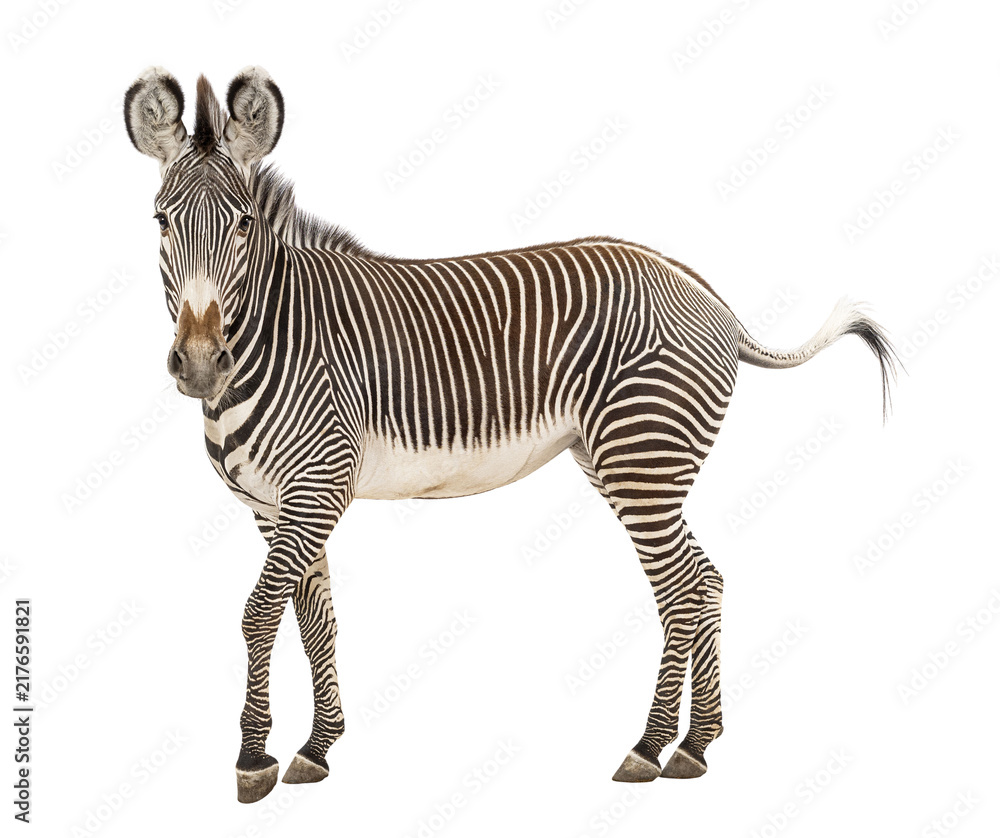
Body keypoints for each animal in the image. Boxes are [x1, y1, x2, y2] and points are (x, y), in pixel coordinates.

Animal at [124, 66, 897, 803]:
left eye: (243, 224)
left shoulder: (316, 486)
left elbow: (259, 614)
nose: (199, 364)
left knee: (683, 587)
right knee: (700, 582)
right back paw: (694, 743)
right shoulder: (273, 504)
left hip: (642, 458)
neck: (273, 333)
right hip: (619, 462)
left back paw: (655, 747)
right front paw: (317, 748)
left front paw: (254, 761)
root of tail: (708, 297)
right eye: (160, 222)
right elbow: (316, 620)